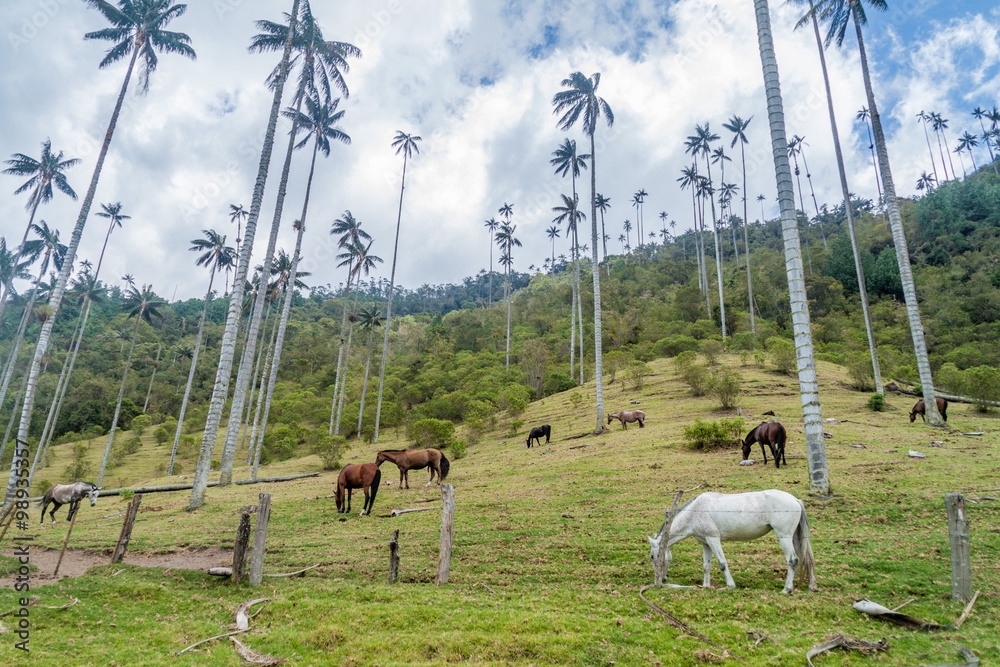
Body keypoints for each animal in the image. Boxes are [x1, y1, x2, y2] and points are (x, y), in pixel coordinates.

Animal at [648, 490, 820, 596]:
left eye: (652, 556)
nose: (661, 580)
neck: (695, 512)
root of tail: (795, 500)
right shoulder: (706, 543)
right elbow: (706, 566)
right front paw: (705, 586)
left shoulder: (713, 539)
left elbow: (722, 563)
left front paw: (730, 585)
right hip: (795, 538)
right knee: (807, 559)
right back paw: (812, 587)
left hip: (784, 537)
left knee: (793, 560)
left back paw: (787, 589)